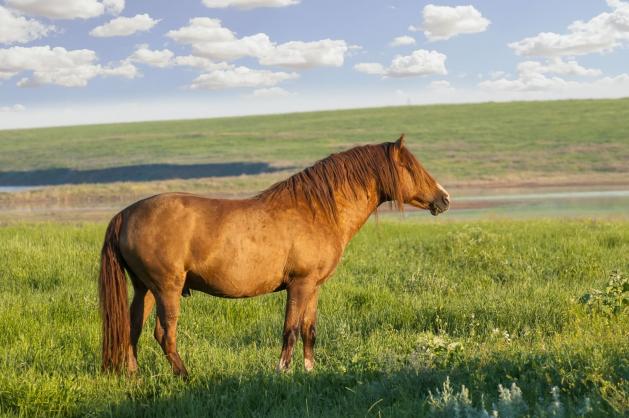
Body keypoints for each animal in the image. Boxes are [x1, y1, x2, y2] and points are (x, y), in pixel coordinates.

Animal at [99, 136, 446, 378]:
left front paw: (310, 372)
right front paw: (282, 373)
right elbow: (289, 330)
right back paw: (186, 377)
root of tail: (126, 214)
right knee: (164, 334)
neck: (315, 211)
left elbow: (308, 330)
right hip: (166, 290)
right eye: (410, 167)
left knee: (132, 329)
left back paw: (134, 377)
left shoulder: (314, 287)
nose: (444, 198)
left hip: (145, 290)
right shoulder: (299, 285)